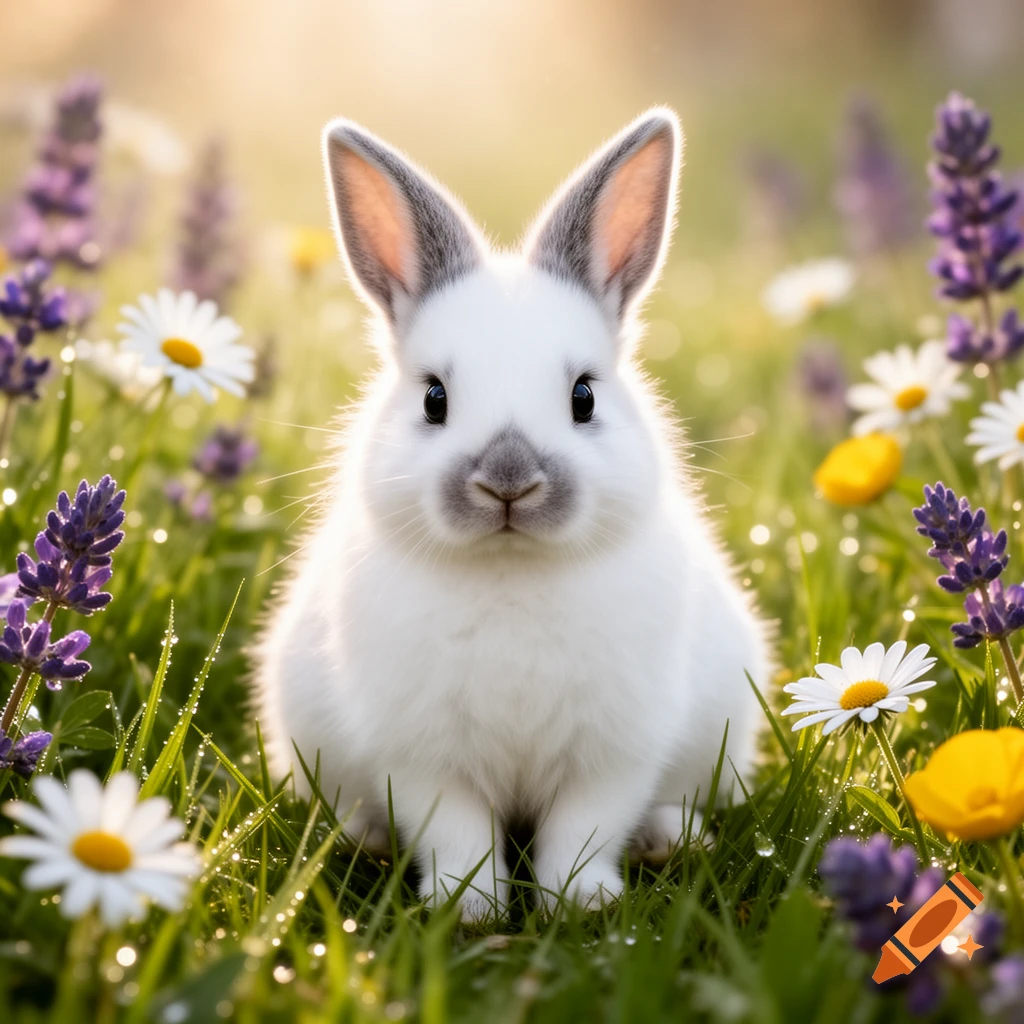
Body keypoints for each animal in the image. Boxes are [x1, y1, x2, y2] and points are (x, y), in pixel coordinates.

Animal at [254, 107, 771, 922]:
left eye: (583, 396)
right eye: (433, 398)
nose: (508, 482)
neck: (510, 572)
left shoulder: (612, 754)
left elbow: (582, 831)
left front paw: (578, 902)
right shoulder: (425, 759)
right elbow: (458, 834)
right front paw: (471, 908)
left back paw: (668, 839)